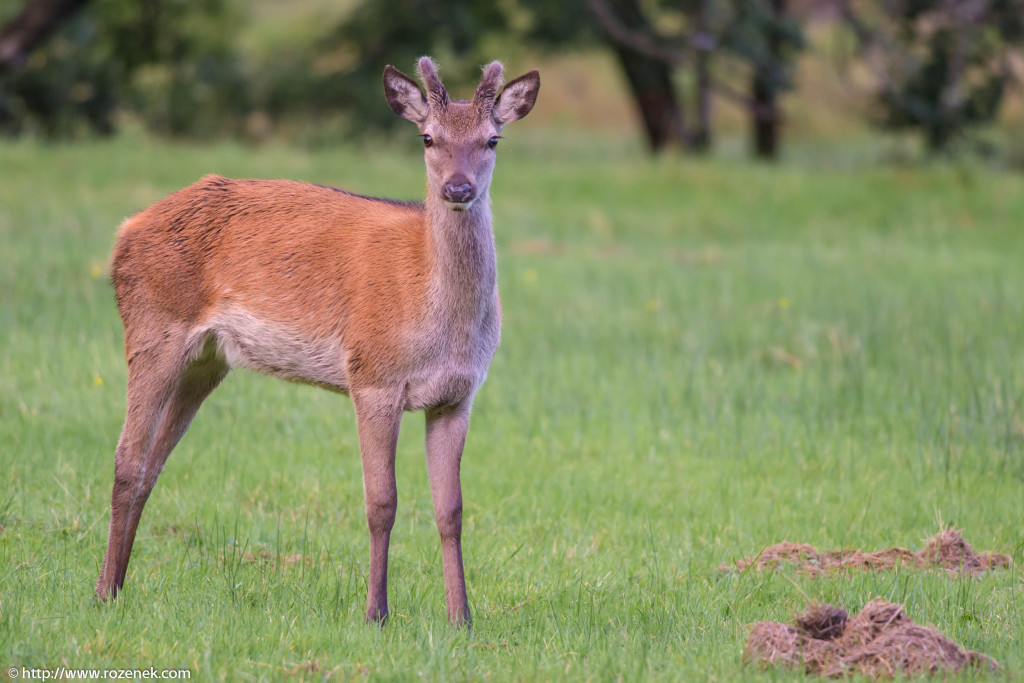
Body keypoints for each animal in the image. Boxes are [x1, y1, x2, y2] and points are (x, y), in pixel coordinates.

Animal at [95, 56, 540, 626]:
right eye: (427, 138)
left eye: (492, 140)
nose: (458, 189)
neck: (433, 310)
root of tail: (125, 231)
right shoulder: (373, 375)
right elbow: (382, 503)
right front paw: (376, 613)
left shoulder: (458, 396)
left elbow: (452, 510)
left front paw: (461, 618)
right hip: (153, 326)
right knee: (126, 460)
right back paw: (103, 592)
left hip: (206, 359)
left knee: (153, 463)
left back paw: (119, 585)